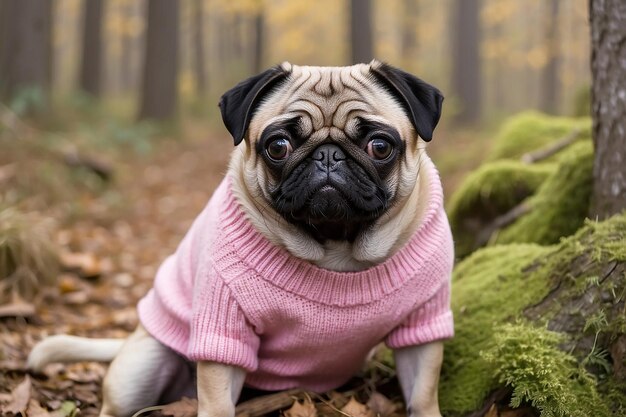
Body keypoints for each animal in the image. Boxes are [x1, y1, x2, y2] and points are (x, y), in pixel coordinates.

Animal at [28, 59, 454, 416]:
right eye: (278, 146)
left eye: (380, 146)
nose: (328, 156)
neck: (336, 249)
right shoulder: (222, 329)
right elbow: (217, 401)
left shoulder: (424, 324)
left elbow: (423, 394)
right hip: (140, 369)